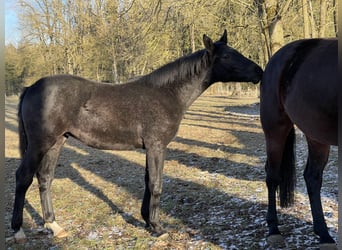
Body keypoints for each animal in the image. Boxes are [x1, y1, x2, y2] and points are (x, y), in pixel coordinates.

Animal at [10, 29, 262, 242]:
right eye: (227, 56)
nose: (259, 71)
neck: (167, 93)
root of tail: (31, 87)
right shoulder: (157, 146)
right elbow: (156, 183)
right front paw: (158, 228)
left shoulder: (150, 147)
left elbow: (148, 181)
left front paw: (147, 221)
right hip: (40, 143)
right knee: (23, 177)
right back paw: (18, 230)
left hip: (56, 142)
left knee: (45, 178)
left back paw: (54, 226)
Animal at [260, 38, 338, 249]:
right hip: (275, 129)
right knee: (272, 176)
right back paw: (274, 230)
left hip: (316, 136)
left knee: (312, 177)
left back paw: (324, 234)